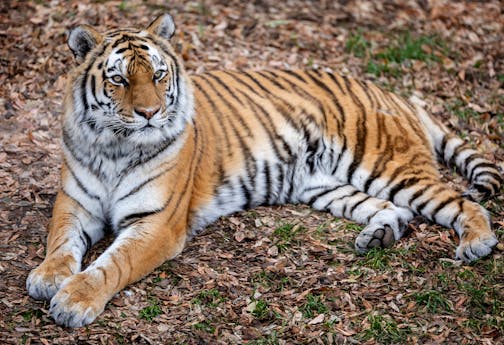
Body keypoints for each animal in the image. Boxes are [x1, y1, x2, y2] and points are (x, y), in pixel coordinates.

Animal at [25, 13, 502, 326]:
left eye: (158, 75)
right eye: (119, 79)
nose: (149, 113)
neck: (115, 148)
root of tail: (394, 93)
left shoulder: (156, 222)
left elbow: (112, 263)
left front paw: (74, 300)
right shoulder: (74, 202)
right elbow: (60, 241)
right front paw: (48, 277)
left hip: (387, 165)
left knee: (462, 202)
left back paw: (476, 244)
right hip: (326, 185)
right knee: (396, 211)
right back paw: (377, 237)